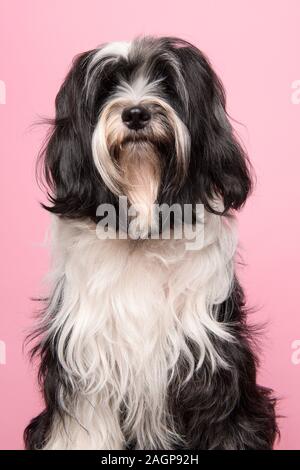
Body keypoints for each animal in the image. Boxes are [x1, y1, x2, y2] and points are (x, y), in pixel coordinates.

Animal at [24, 35, 278, 448]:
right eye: (108, 86)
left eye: (168, 84)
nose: (136, 114)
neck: (144, 230)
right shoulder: (86, 355)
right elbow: (82, 428)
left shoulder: (209, 357)